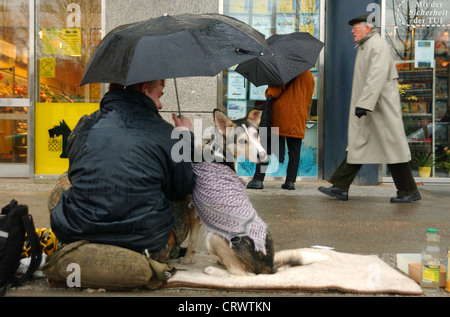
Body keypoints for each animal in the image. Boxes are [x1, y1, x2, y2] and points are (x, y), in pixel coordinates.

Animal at [180, 108, 302, 274]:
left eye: (256, 135)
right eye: (242, 141)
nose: (264, 156)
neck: (220, 149)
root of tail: (269, 266)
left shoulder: (194, 209)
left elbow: (192, 240)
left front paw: (187, 260)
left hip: (213, 237)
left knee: (239, 272)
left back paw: (213, 270)